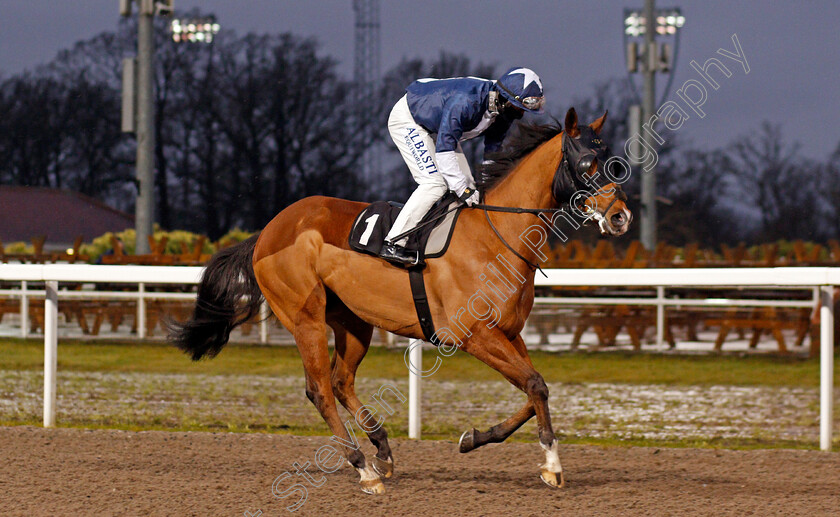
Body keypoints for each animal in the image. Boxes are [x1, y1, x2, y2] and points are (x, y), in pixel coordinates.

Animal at [169, 108, 632, 492]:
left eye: (612, 160)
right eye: (587, 164)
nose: (620, 216)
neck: (495, 235)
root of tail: (267, 232)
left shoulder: (510, 333)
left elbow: (534, 392)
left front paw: (473, 438)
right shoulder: (475, 336)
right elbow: (535, 385)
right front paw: (552, 465)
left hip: (354, 321)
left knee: (341, 380)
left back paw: (382, 449)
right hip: (305, 317)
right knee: (319, 389)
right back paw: (364, 468)